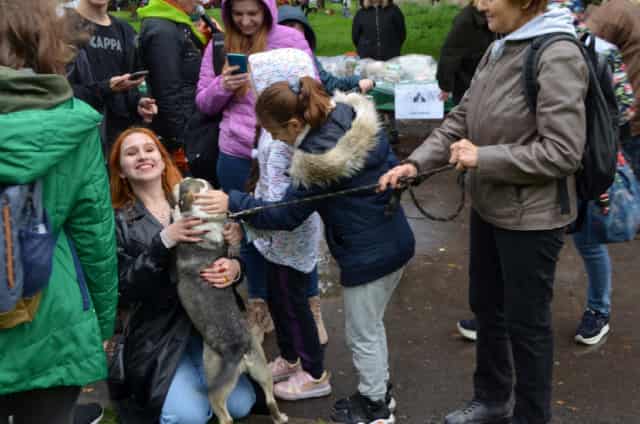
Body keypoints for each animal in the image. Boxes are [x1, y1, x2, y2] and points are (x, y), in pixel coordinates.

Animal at [172, 177, 288, 422]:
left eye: (185, 183)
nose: (176, 180)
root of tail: (240, 352)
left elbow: (180, 217)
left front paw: (175, 214)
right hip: (262, 368)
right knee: (270, 398)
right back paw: (280, 417)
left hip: (215, 380)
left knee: (225, 415)